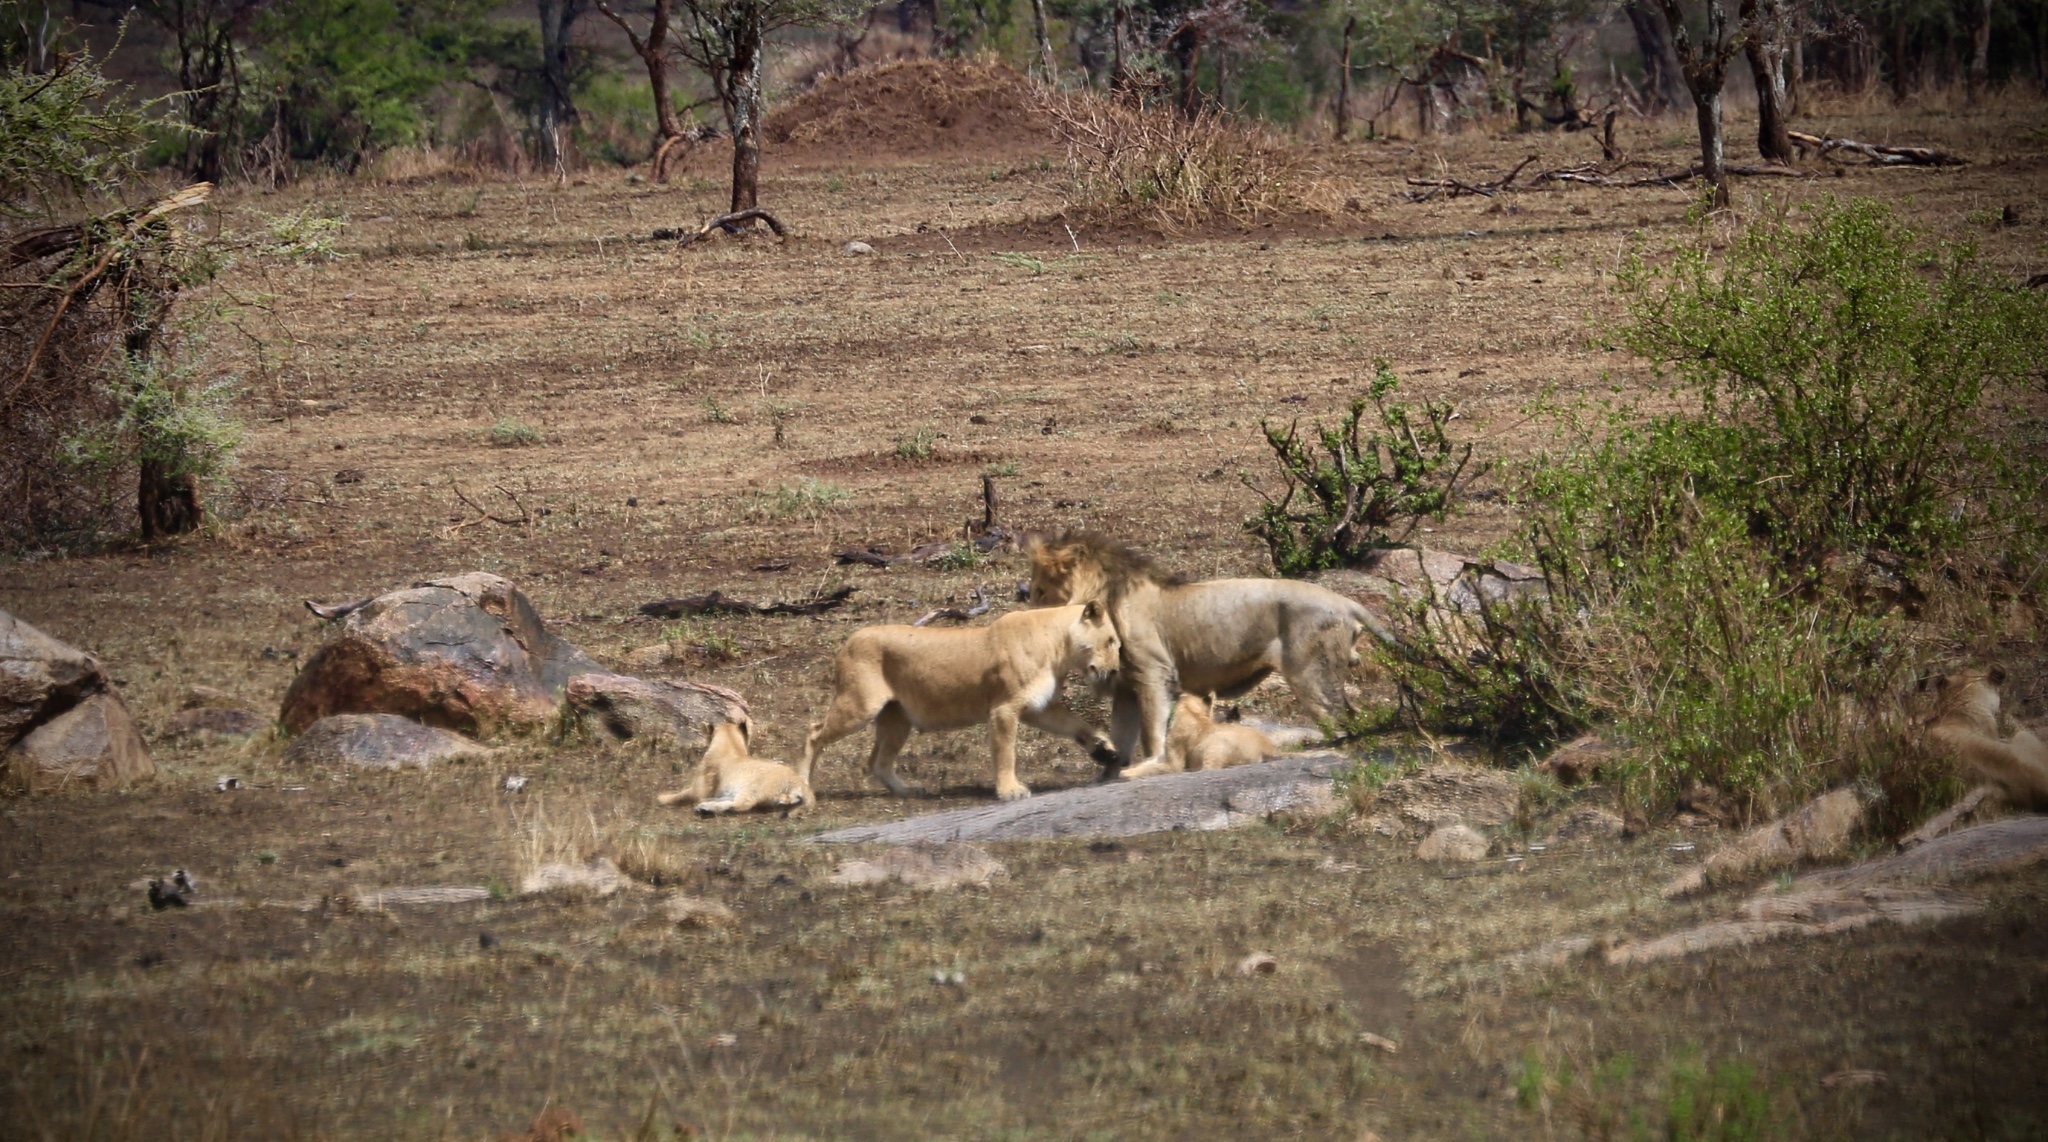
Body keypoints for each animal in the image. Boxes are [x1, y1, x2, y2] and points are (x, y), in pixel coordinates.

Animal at [659, 724, 811, 814]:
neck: (731, 743)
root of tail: (798, 781)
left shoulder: (698, 790)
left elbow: (680, 795)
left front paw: (662, 798)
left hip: (752, 787)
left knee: (741, 805)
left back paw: (705, 807)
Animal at [798, 601, 1122, 806]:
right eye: (1110, 641)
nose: (1115, 671)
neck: (1059, 648)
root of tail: (847, 642)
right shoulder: (1004, 709)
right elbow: (1006, 753)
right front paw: (1010, 791)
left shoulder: (1039, 707)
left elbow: (1077, 724)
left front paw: (1104, 749)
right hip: (860, 705)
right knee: (813, 733)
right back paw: (805, 791)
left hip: (897, 718)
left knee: (878, 761)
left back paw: (908, 790)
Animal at [1032, 536, 1384, 777]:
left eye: (1039, 589)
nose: (1024, 595)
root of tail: (1344, 601)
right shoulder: (1126, 687)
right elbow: (1122, 738)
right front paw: (1109, 773)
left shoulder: (1153, 674)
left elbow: (1153, 731)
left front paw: (1152, 765)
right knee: (1353, 715)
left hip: (1310, 676)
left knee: (1338, 721)